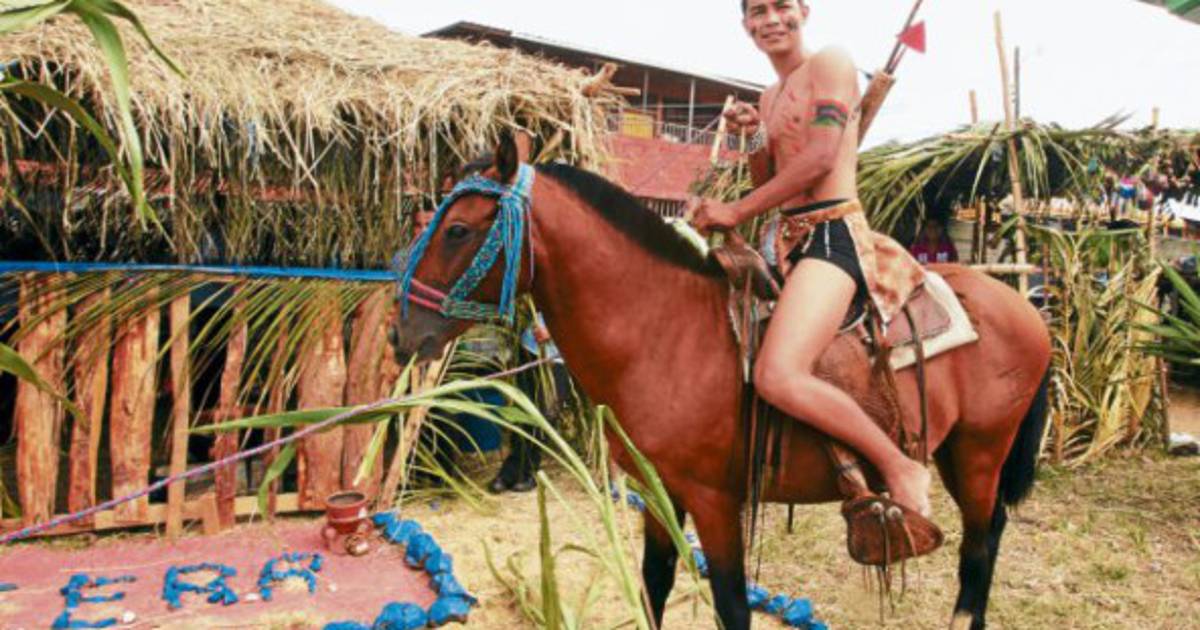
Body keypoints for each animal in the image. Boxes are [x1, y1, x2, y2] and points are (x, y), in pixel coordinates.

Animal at [391, 136, 1052, 630]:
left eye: (458, 230)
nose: (403, 333)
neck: (665, 332)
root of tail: (1024, 307)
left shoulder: (714, 500)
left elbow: (732, 608)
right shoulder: (659, 490)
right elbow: (653, 585)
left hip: (979, 453)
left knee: (978, 547)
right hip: (959, 454)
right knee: (989, 535)